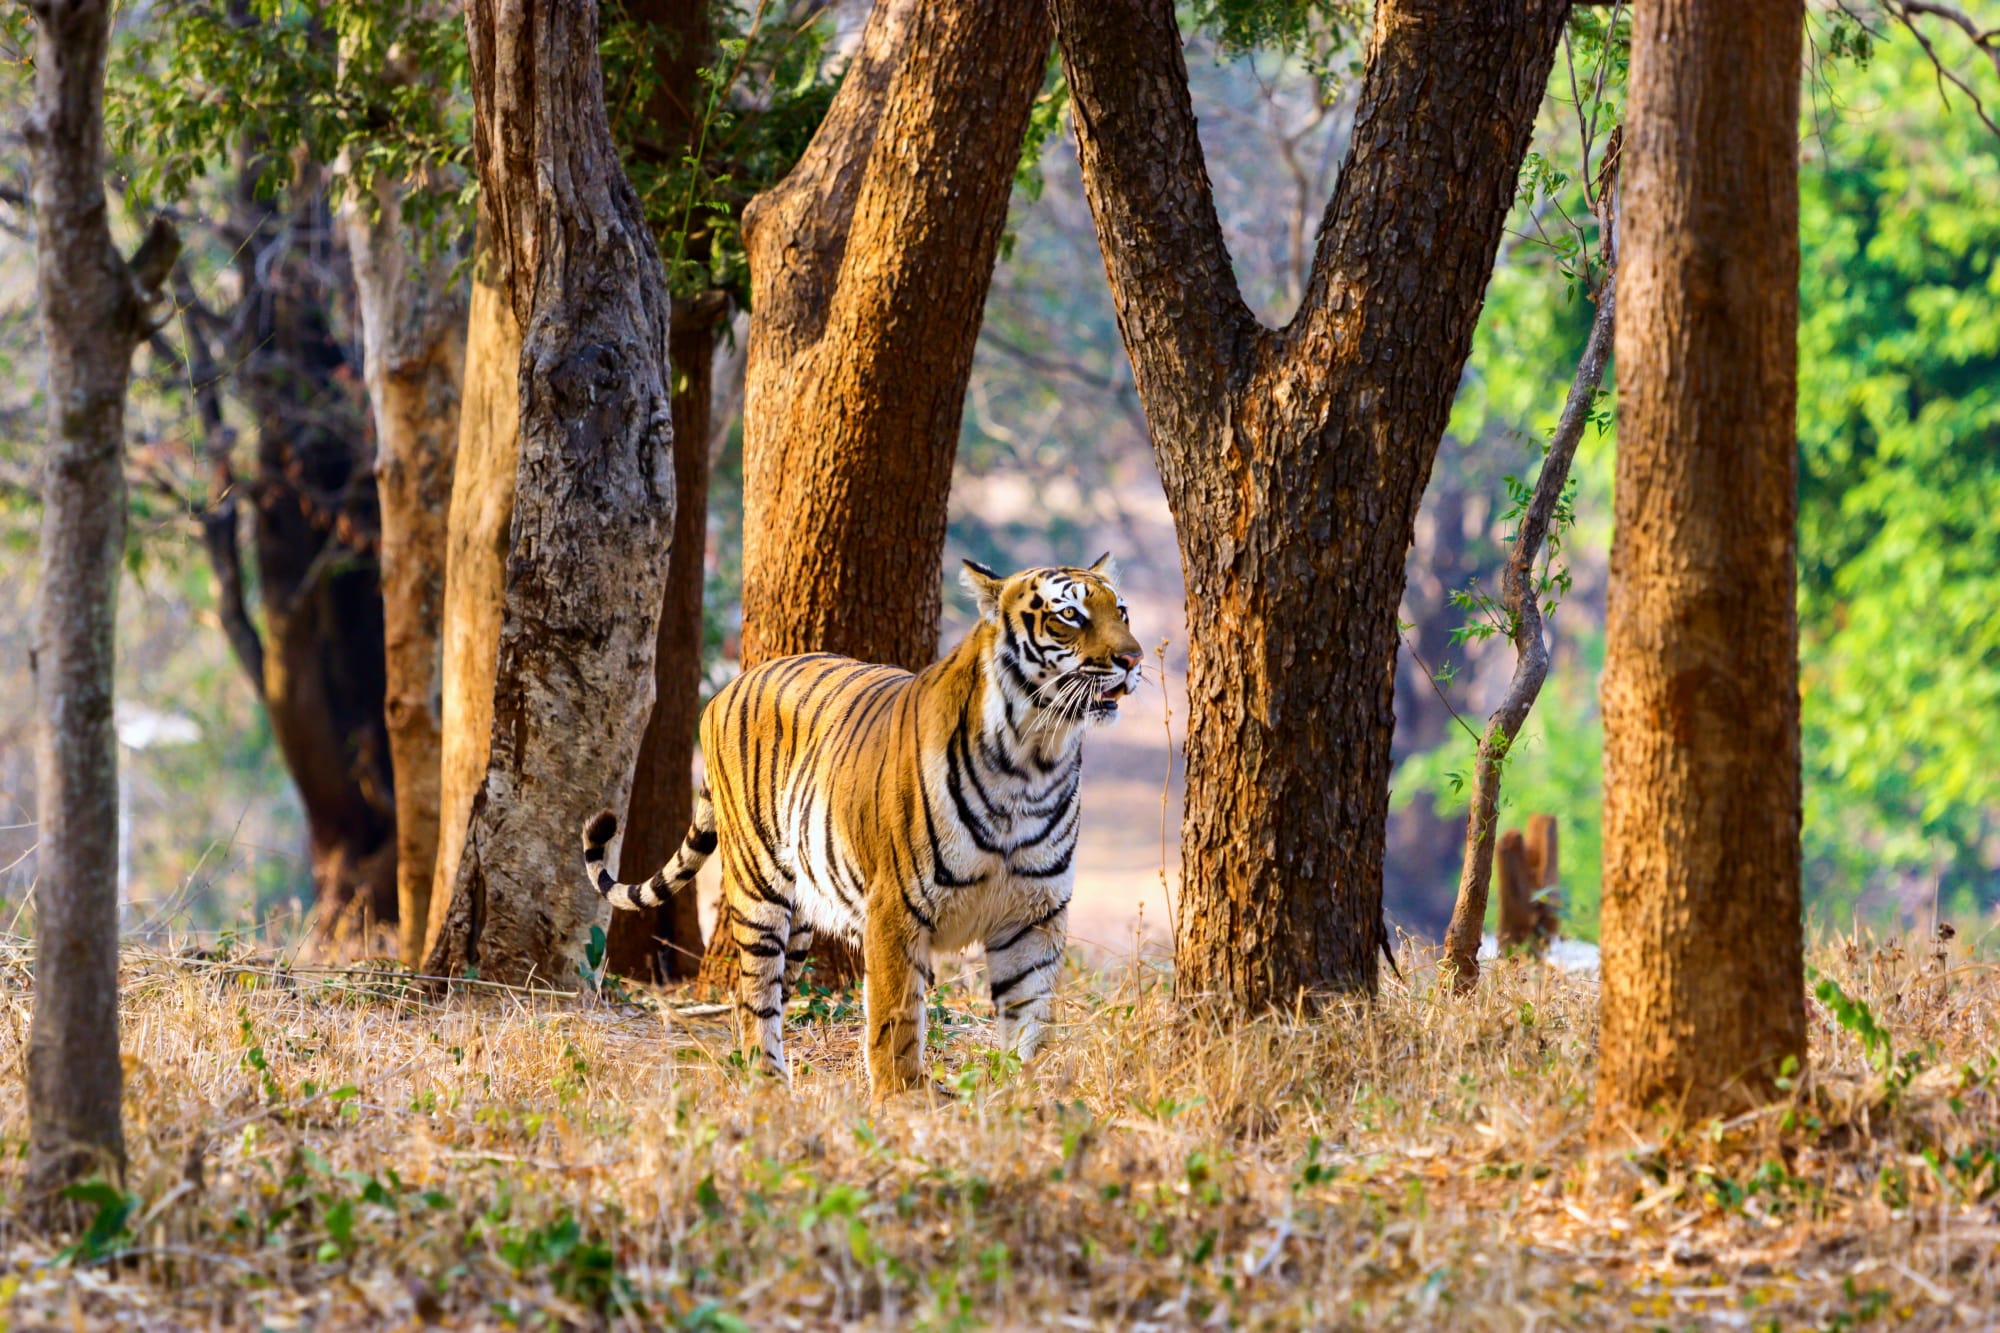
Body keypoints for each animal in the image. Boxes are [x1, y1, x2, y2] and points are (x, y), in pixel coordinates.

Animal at [580, 556, 1142, 1097]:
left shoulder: (1034, 914)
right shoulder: (897, 907)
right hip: (758, 887)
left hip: (802, 919)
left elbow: (1031, 1021)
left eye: (1122, 611)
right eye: (1070, 615)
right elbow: (896, 1019)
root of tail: (728, 688)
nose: (1133, 660)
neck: (1034, 759)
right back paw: (767, 1087)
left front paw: (1025, 1097)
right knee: (754, 995)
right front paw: (902, 1102)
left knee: (761, 997)